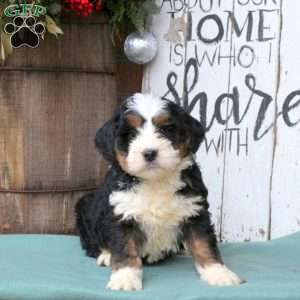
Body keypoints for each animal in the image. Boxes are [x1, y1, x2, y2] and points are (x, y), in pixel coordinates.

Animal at [75, 93, 244, 290]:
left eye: (165, 129)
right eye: (131, 134)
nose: (149, 153)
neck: (155, 181)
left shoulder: (194, 209)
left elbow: (203, 243)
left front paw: (218, 273)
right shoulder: (121, 212)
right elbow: (125, 247)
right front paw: (125, 277)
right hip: (84, 206)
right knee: (91, 242)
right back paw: (106, 255)